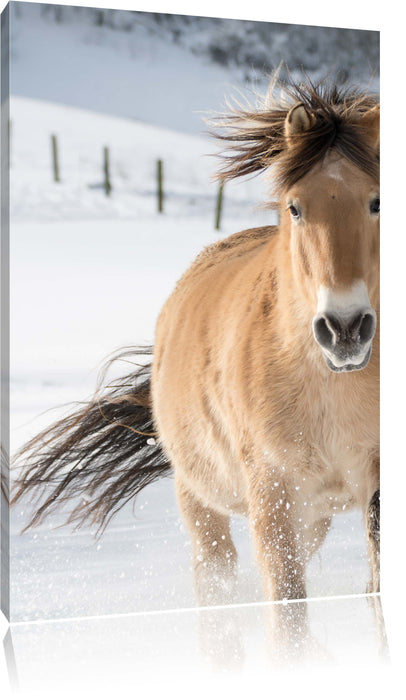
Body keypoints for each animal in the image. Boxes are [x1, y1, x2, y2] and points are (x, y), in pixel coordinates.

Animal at [13, 77, 380, 629]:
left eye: (379, 203)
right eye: (295, 207)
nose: (345, 329)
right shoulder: (273, 496)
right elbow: (288, 614)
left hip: (311, 517)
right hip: (202, 500)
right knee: (217, 581)